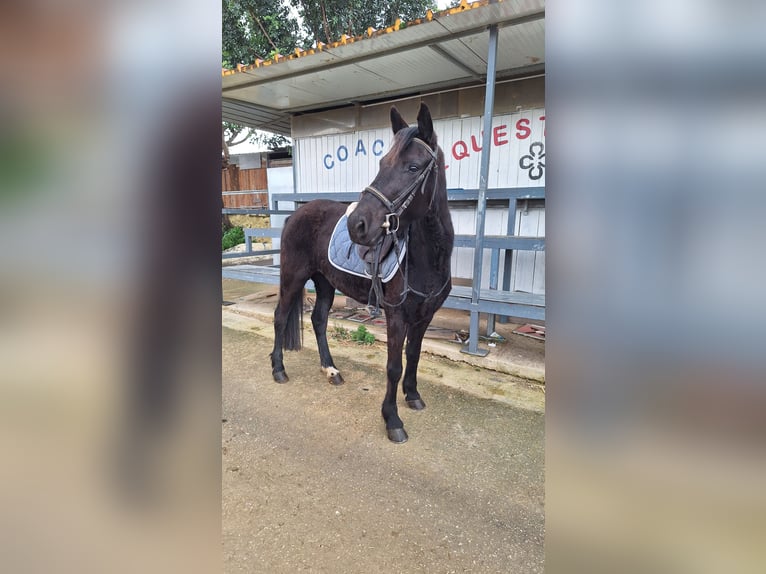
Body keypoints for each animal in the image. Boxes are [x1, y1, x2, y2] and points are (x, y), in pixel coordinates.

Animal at [270, 103, 454, 443]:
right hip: (293, 277)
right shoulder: (396, 316)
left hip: (325, 283)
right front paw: (392, 420)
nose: (357, 225)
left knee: (318, 321)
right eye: (382, 163)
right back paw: (278, 369)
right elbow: (394, 366)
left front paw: (412, 396)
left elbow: (414, 355)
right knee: (280, 317)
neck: (425, 258)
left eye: (413, 167)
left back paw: (331, 370)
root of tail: (295, 214)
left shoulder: (424, 315)